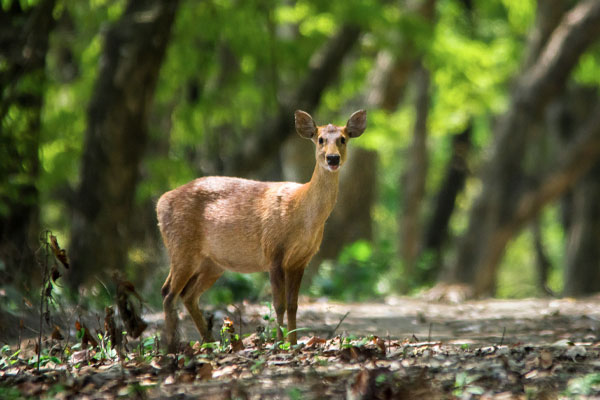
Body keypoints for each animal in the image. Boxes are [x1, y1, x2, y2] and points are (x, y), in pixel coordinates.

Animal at [157, 110, 366, 354]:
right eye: (320, 139)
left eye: (343, 138)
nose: (333, 159)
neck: (300, 210)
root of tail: (161, 202)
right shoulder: (273, 250)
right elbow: (279, 304)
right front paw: (279, 343)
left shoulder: (300, 259)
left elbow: (293, 304)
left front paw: (293, 343)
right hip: (181, 247)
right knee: (168, 292)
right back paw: (173, 347)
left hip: (211, 263)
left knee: (187, 295)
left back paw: (209, 343)